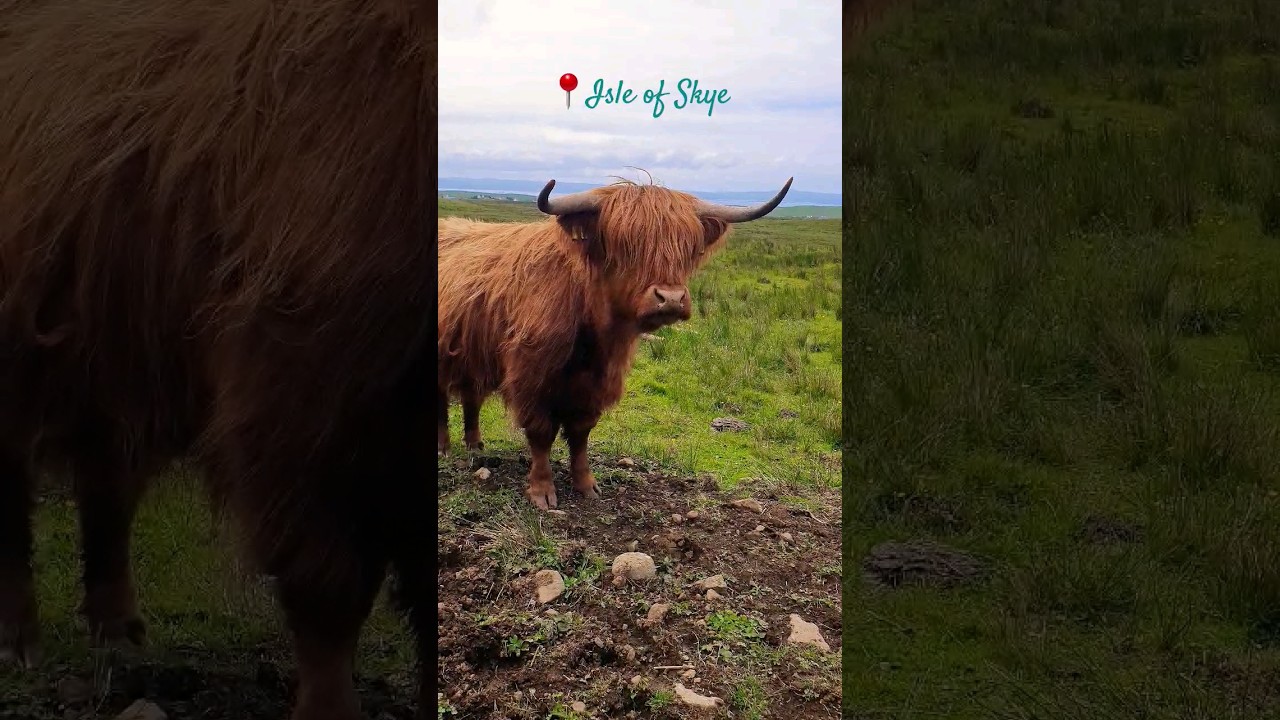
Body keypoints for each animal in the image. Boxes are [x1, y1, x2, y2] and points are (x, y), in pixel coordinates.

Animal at [0, 2, 431, 719]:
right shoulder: (303, 390)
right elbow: (328, 587)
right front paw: (329, 709)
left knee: (107, 482)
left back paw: (118, 632)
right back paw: (18, 641)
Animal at [438, 177, 793, 509]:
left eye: (687, 247)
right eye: (627, 244)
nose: (671, 299)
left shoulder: (598, 381)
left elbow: (581, 434)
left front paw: (586, 485)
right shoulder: (531, 376)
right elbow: (541, 434)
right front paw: (542, 491)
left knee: (471, 397)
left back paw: (474, 445)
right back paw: (443, 448)